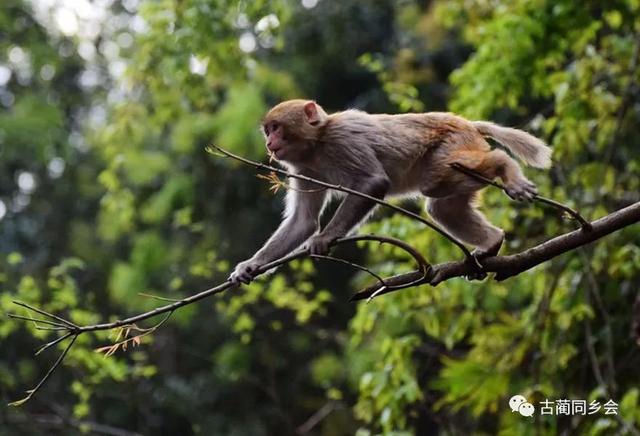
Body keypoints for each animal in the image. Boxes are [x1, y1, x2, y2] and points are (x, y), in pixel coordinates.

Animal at [230, 99, 552, 284]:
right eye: (268, 130)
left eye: (276, 127)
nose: (269, 142)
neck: (317, 143)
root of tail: (467, 124)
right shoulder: (304, 169)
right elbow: (303, 222)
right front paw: (252, 265)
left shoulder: (343, 139)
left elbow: (373, 183)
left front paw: (324, 238)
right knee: (442, 207)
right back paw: (492, 242)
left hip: (455, 143)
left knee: (438, 182)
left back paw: (504, 166)